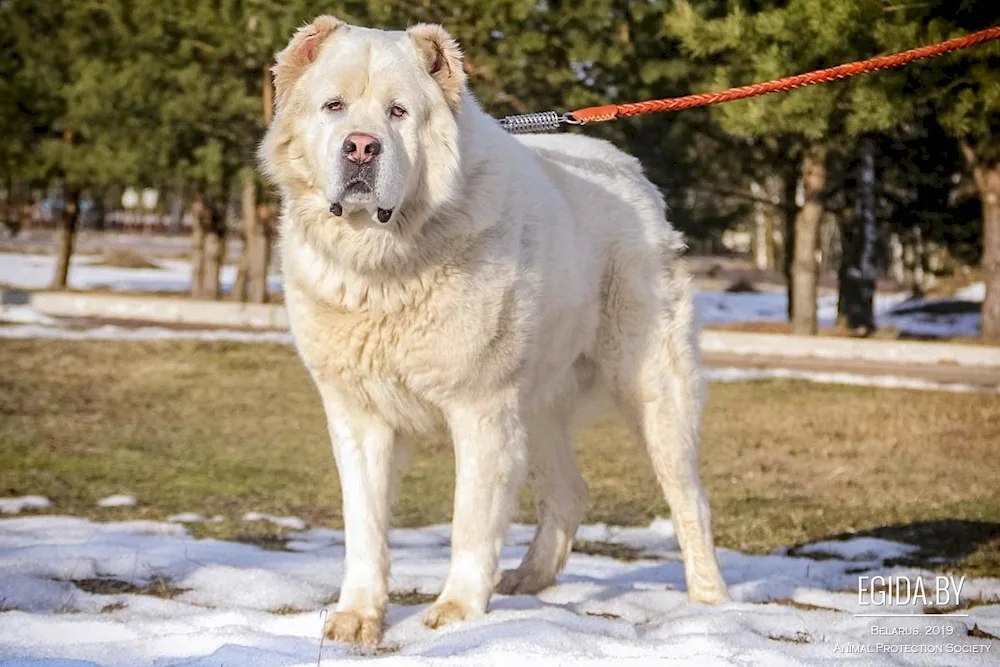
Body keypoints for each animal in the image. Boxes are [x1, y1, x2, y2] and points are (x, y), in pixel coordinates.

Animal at [258, 14, 728, 648]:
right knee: (569, 493)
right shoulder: (359, 415)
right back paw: (529, 579)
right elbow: (365, 523)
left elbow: (470, 518)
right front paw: (358, 616)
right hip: (537, 405)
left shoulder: (480, 408)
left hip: (653, 388)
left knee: (687, 498)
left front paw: (457, 613)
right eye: (334, 106)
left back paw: (710, 602)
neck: (386, 262)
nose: (361, 147)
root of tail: (629, 170)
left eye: (399, 112)